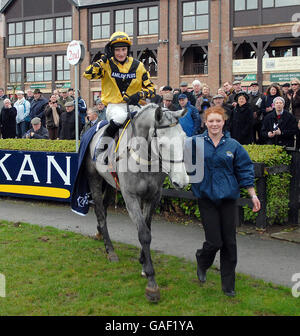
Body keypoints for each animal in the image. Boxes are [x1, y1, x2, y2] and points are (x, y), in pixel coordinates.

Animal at [85, 103, 188, 302]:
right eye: (162, 144)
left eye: (184, 139)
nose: (181, 181)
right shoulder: (131, 197)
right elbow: (144, 234)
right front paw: (151, 282)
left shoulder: (153, 196)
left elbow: (147, 227)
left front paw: (143, 261)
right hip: (94, 179)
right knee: (100, 212)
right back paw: (110, 251)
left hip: (111, 184)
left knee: (105, 210)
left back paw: (101, 235)